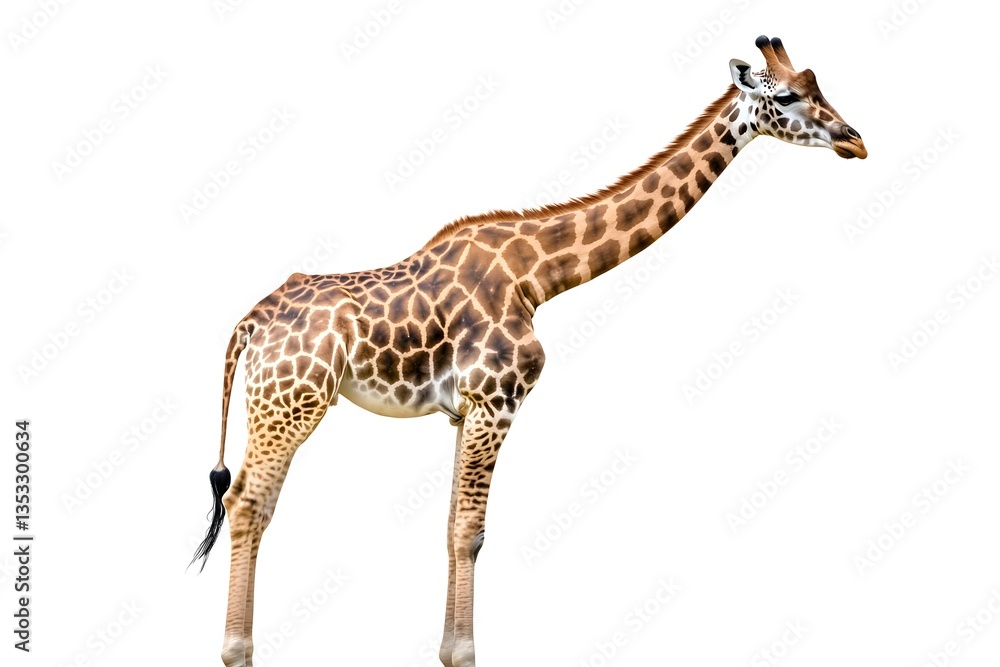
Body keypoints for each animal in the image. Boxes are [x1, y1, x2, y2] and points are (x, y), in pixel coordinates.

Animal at [192, 35, 866, 667]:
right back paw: (238, 651)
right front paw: (466, 654)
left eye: (818, 85)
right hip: (291, 403)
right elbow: (472, 530)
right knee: (248, 501)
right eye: (787, 98)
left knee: (251, 499)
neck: (536, 276)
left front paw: (448, 648)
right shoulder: (497, 399)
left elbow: (451, 525)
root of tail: (248, 323)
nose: (856, 142)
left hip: (279, 403)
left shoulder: (464, 411)